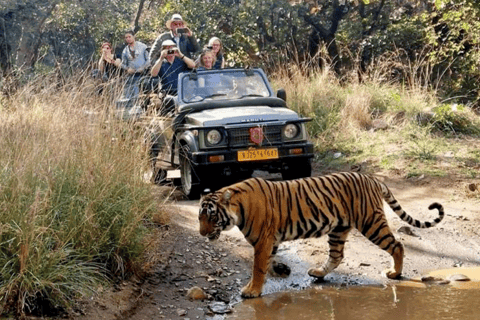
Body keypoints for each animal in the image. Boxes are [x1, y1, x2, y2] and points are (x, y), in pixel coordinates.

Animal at [197, 171, 444, 298]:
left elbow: (258, 267)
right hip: (339, 229)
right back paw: (317, 273)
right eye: (200, 218)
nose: (201, 233)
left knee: (397, 245)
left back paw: (395, 273)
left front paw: (252, 290)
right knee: (337, 255)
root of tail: (372, 178)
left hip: (371, 223)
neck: (238, 209)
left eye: (211, 217)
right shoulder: (270, 241)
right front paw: (273, 275)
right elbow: (266, 263)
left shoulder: (263, 240)